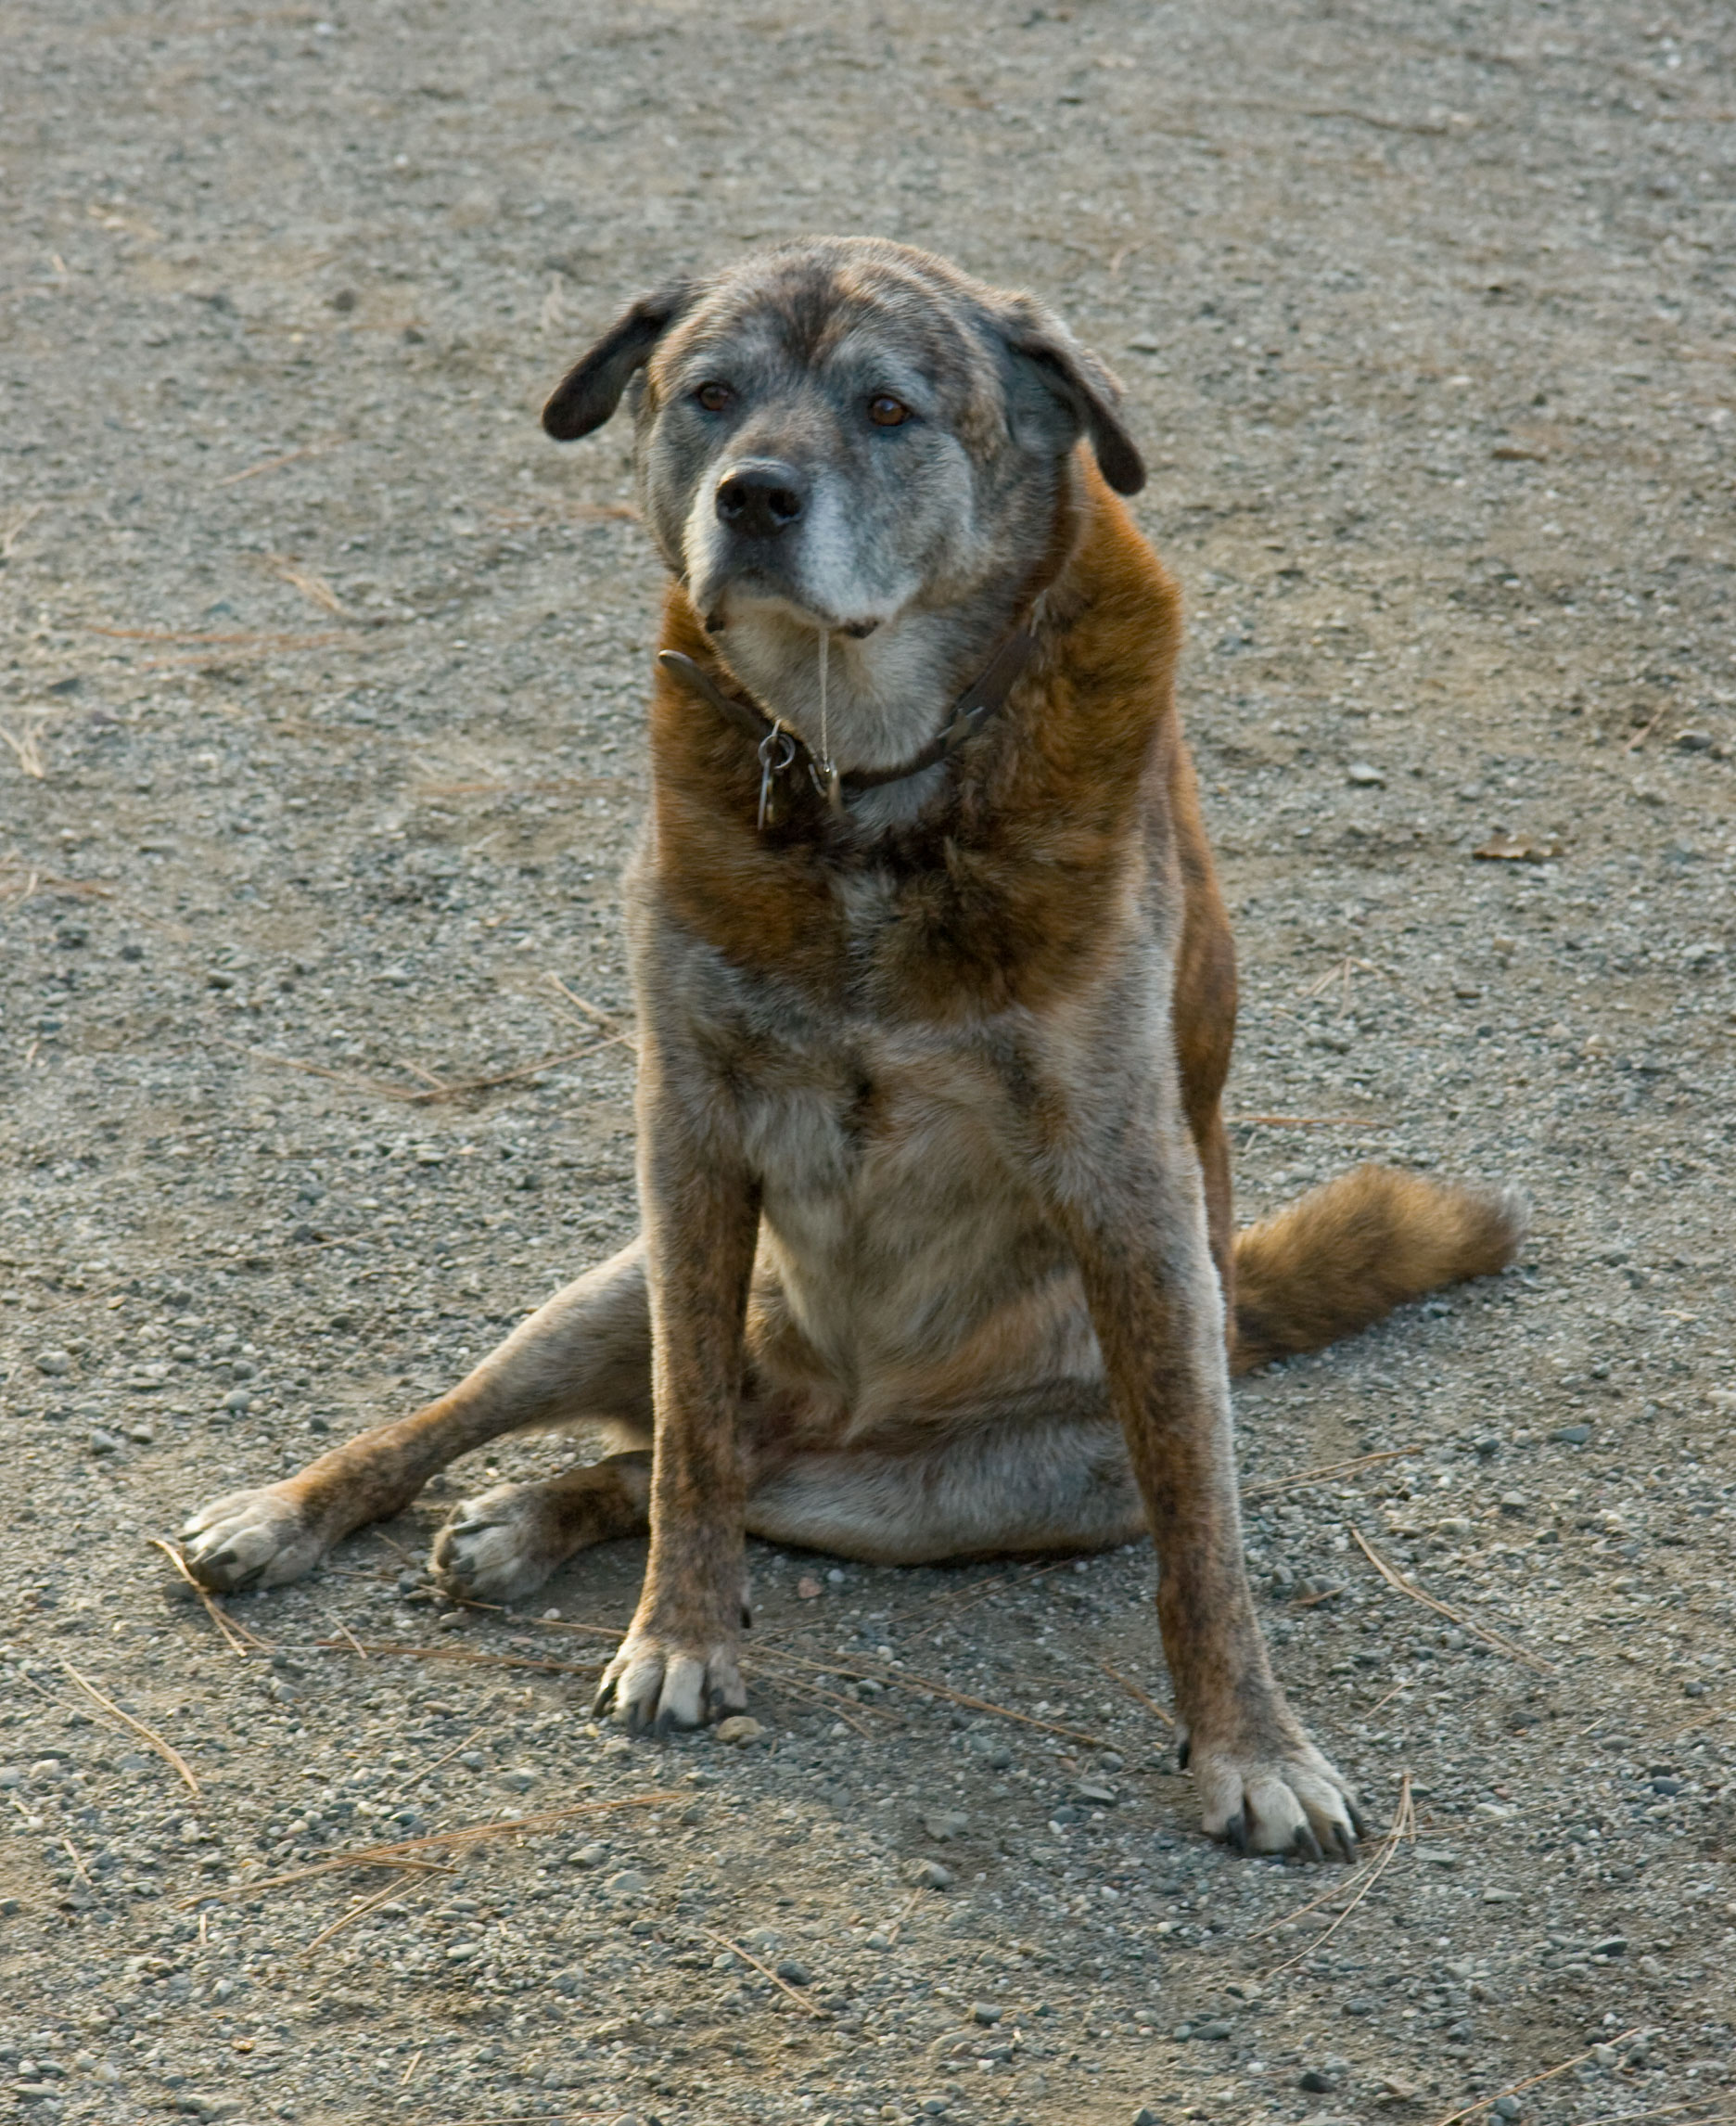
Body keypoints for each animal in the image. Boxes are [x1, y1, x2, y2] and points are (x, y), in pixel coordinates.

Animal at [183, 237, 1521, 1862]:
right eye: (708, 394)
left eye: (890, 410)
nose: (754, 496)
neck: (864, 780)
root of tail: (833, 1406)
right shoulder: (688, 1137)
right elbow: (692, 1435)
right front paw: (680, 1638)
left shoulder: (1128, 1183)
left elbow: (1204, 1538)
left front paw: (1251, 1747)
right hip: (614, 1290)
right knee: (555, 1425)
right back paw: (303, 1512)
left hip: (978, 1489)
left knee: (707, 1466)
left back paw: (527, 1521)